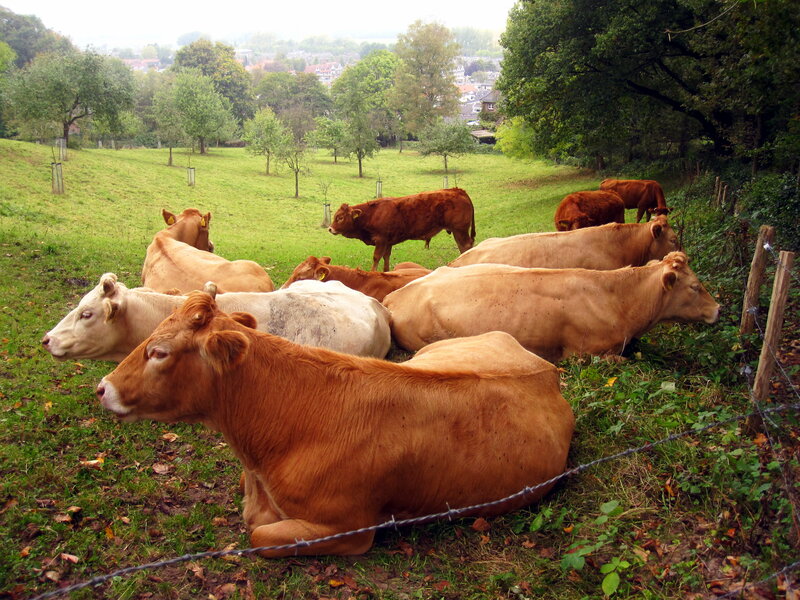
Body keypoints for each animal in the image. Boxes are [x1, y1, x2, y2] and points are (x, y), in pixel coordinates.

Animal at [328, 188, 476, 272]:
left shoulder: (381, 240)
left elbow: (376, 257)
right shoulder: (388, 242)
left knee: (466, 246)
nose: (330, 229)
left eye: (340, 217)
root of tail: (457, 190)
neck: (373, 213)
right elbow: (386, 258)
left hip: (459, 230)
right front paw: (386, 272)